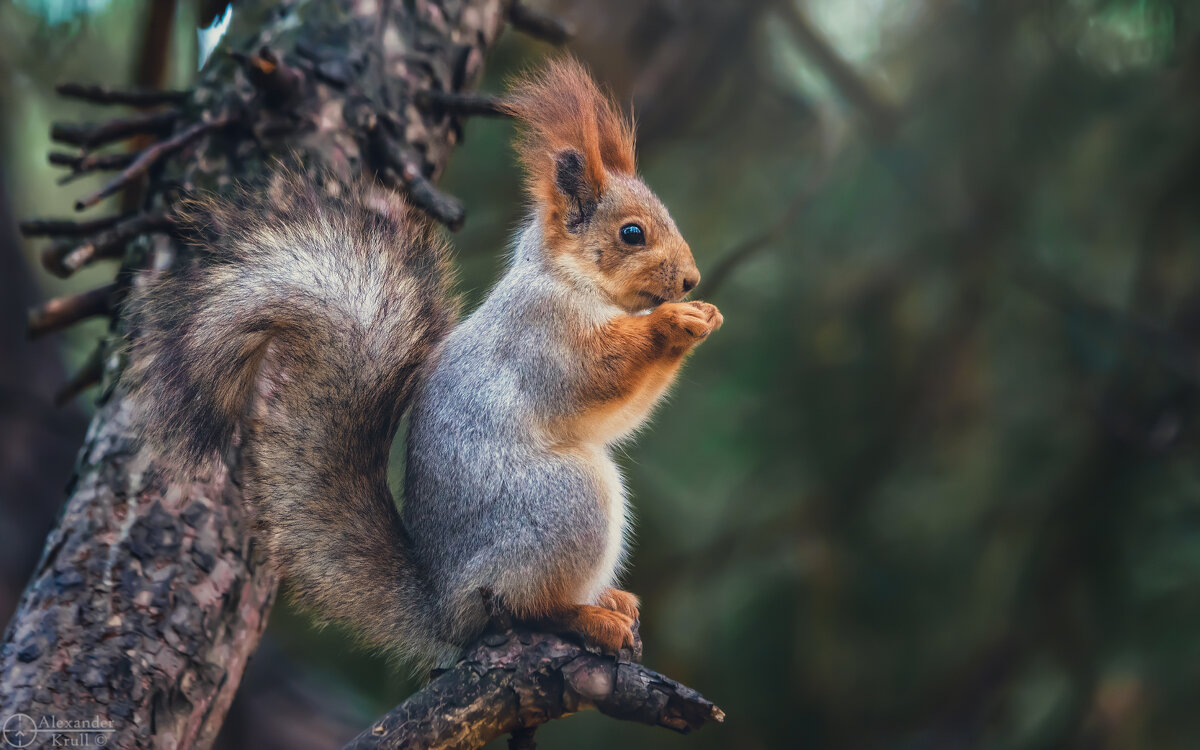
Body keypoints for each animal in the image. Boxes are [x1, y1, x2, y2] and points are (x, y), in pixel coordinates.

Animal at [124, 58, 720, 662]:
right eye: (631, 233)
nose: (691, 280)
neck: (570, 279)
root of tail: (446, 605)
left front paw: (704, 314)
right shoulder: (544, 334)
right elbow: (597, 376)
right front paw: (674, 322)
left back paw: (611, 601)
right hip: (565, 504)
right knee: (525, 607)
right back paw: (589, 617)